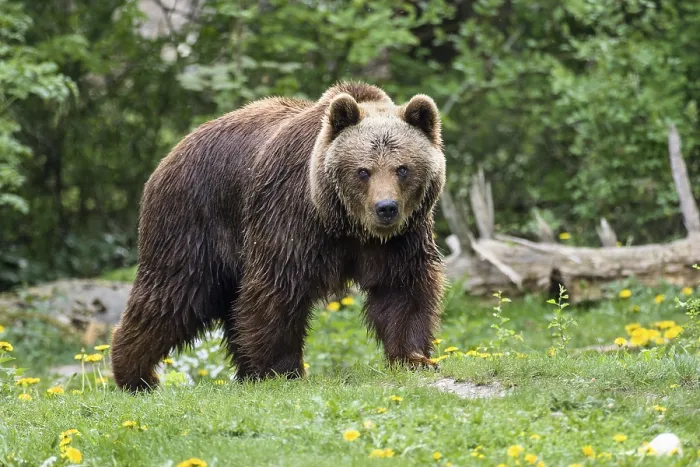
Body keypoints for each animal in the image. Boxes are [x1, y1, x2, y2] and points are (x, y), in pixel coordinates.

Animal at [110, 81, 447, 392]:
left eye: (402, 168)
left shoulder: (401, 239)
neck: (345, 224)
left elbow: (403, 289)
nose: (385, 208)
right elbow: (277, 289)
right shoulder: (290, 219)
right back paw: (137, 375)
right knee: (173, 294)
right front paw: (281, 370)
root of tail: (170, 155)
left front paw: (415, 357)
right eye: (363, 171)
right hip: (193, 222)